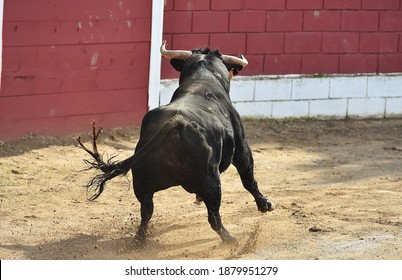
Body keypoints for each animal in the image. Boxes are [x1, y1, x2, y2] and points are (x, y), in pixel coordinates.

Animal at [77, 40, 274, 244]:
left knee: (146, 211)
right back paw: (231, 239)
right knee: (213, 216)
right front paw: (265, 204)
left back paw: (139, 242)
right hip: (212, 180)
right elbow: (248, 178)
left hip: (142, 182)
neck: (203, 78)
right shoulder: (241, 146)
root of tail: (175, 123)